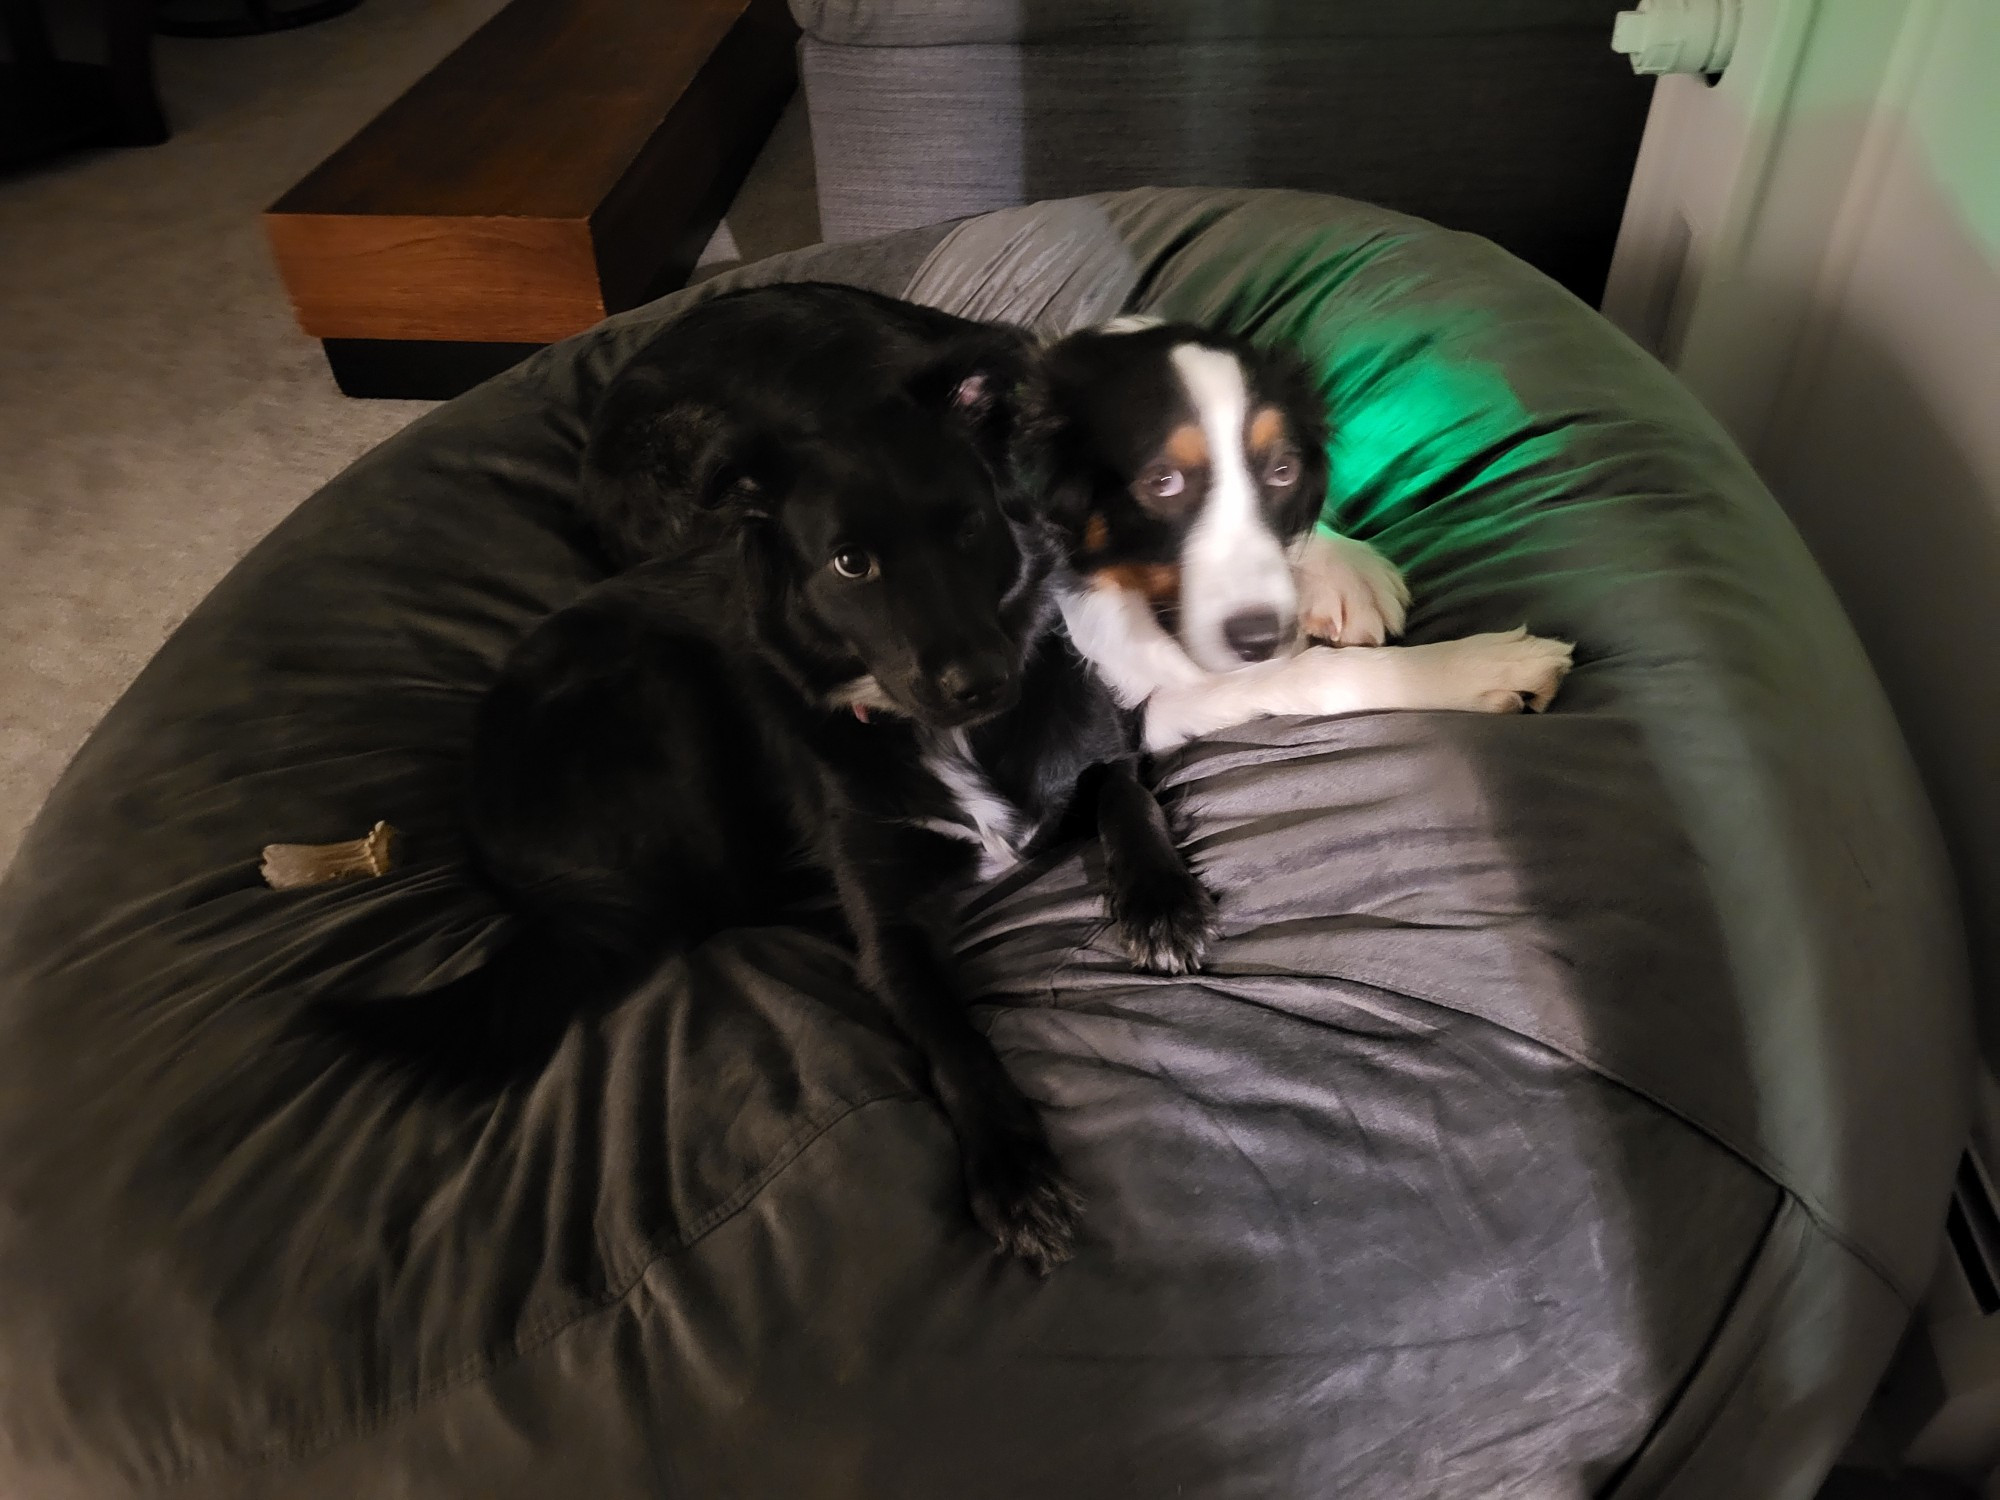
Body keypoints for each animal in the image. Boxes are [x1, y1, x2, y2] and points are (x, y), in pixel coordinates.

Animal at [464, 288, 1216, 1272]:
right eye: (851, 562)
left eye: (968, 524)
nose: (981, 682)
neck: (949, 737)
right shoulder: (886, 927)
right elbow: (949, 1035)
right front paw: (1010, 1168)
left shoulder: (1091, 753)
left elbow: (1128, 793)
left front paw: (1161, 901)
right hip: (664, 696)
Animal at [1032, 322, 1576, 756]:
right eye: (1163, 482)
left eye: (1282, 471)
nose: (1258, 638)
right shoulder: (1129, 718)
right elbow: (1303, 672)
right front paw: (1472, 667)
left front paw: (1345, 568)